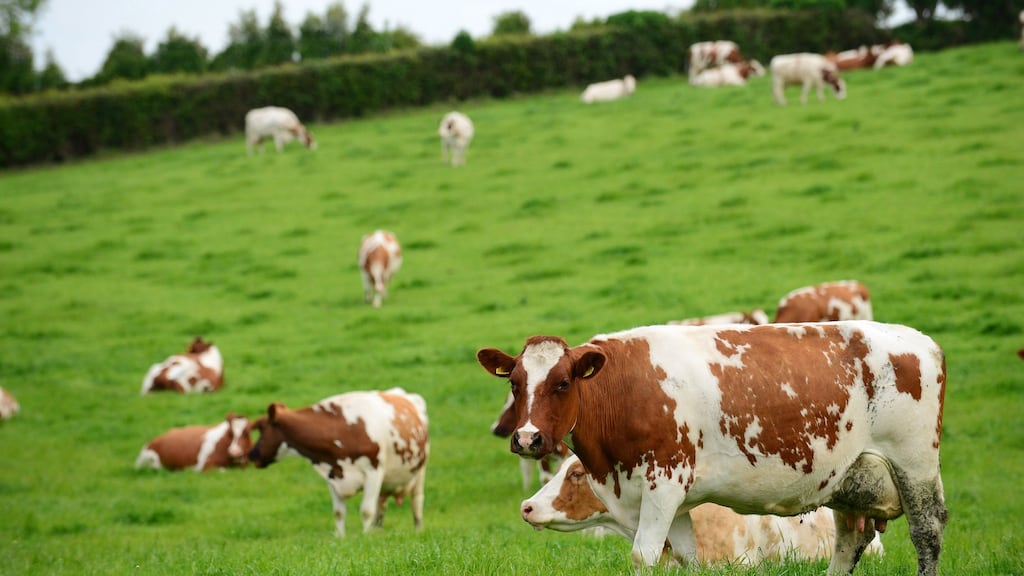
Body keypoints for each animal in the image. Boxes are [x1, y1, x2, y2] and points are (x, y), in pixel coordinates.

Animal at [247, 388, 429, 536]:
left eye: (261, 429)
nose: (251, 454)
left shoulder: (374, 472)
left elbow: (366, 510)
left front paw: (365, 537)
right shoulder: (333, 473)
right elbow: (339, 512)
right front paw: (341, 537)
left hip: (420, 470)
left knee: (417, 502)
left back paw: (418, 530)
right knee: (381, 504)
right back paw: (377, 531)